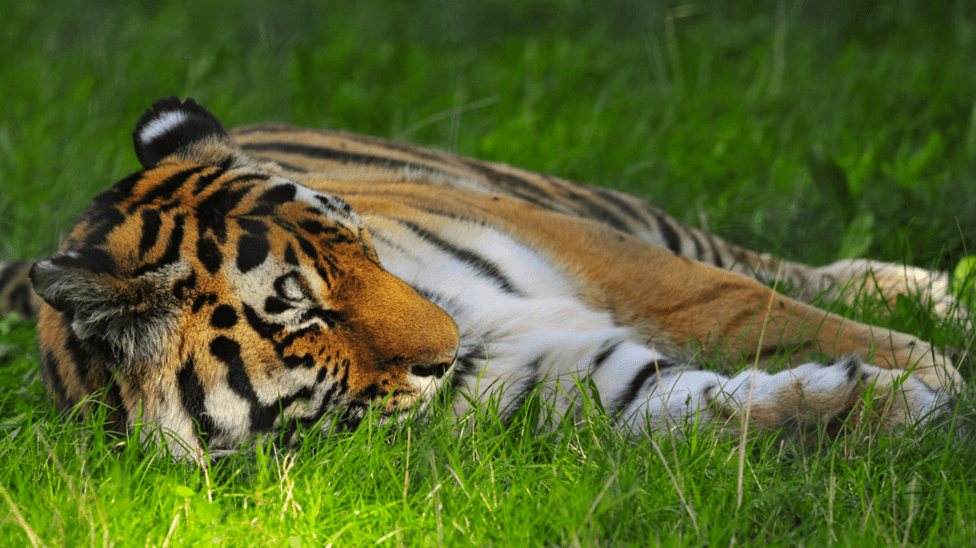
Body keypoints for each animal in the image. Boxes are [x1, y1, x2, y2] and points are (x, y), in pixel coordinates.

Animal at [0, 96, 965, 459]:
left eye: (362, 248)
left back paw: (933, 293)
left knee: (759, 263)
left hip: (587, 204)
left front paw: (926, 368)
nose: (449, 346)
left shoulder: (592, 250)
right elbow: (707, 406)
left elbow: (733, 305)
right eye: (302, 315)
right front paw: (895, 401)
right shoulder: (571, 383)